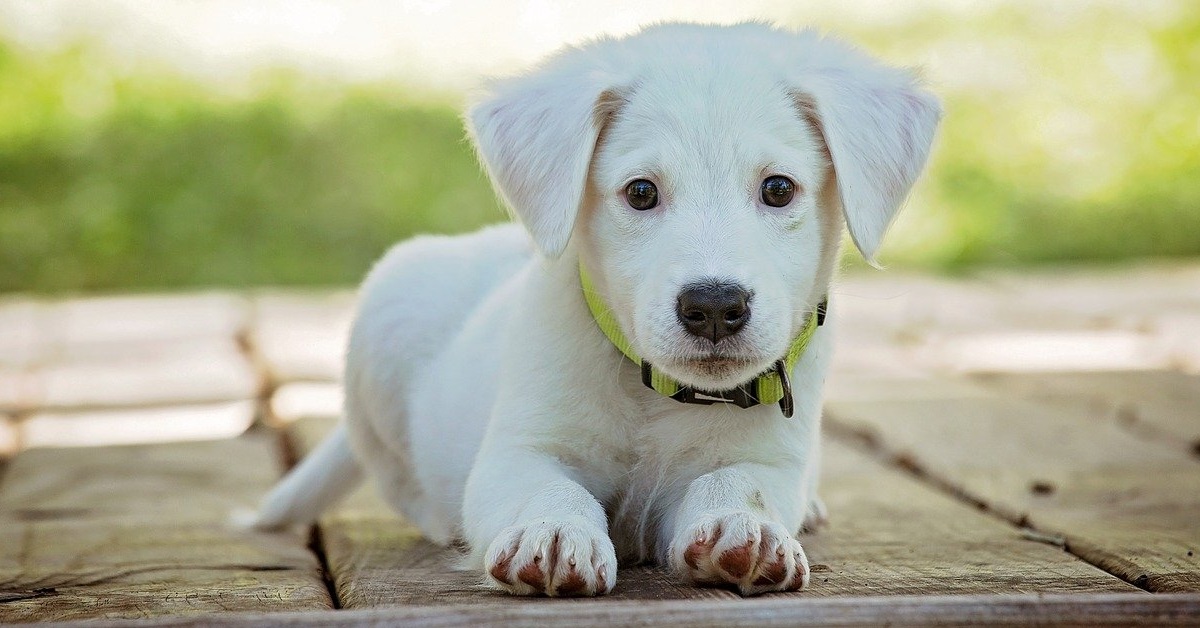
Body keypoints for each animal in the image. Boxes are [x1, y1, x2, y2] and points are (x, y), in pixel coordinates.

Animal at [258, 20, 940, 600]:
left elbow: (739, 483)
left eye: (778, 189)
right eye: (640, 192)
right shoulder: (519, 451)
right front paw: (555, 533)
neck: (656, 395)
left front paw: (744, 529)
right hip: (386, 318)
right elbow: (549, 488)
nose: (714, 307)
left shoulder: (771, 460)